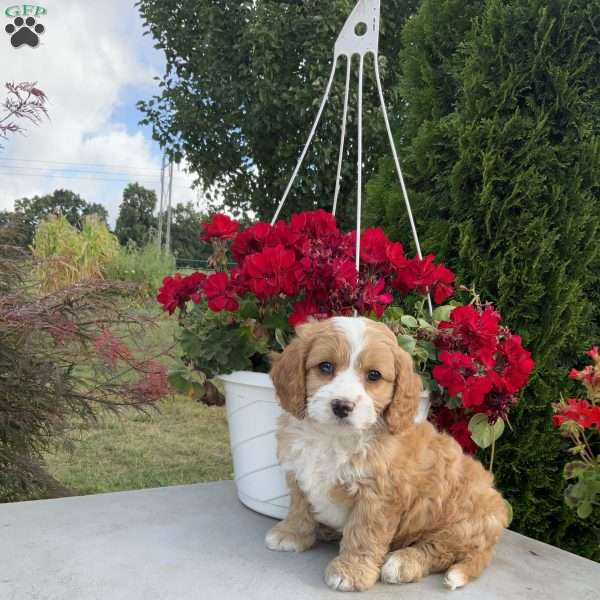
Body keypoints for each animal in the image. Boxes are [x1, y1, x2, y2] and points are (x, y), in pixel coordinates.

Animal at [266, 316, 506, 592]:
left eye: (374, 375)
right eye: (325, 366)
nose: (342, 406)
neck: (334, 437)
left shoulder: (378, 495)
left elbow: (364, 533)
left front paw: (351, 572)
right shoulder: (298, 470)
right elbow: (299, 506)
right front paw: (291, 534)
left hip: (461, 525)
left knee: (439, 550)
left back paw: (402, 563)